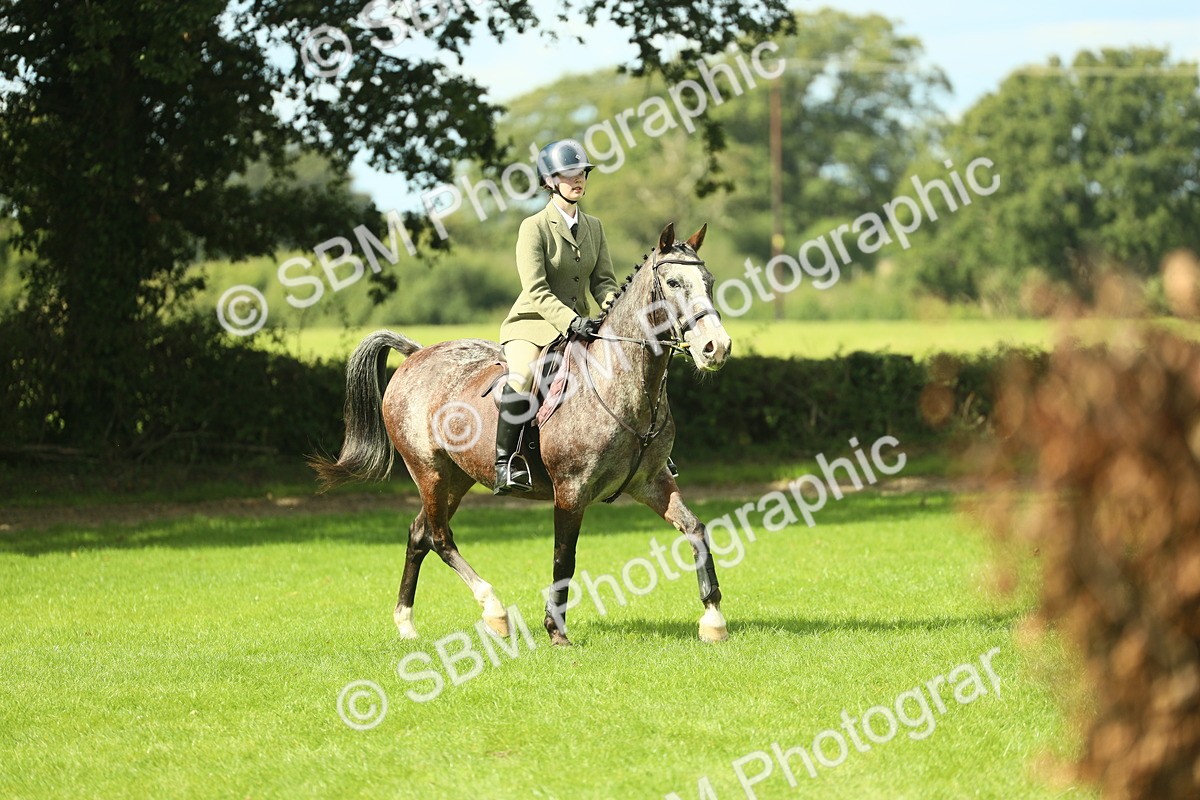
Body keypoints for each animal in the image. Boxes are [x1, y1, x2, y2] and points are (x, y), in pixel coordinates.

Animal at [310, 222, 734, 645]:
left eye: (709, 281)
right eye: (673, 282)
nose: (717, 348)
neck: (622, 382)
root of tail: (415, 354)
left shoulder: (651, 481)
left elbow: (696, 529)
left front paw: (713, 619)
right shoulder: (570, 492)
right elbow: (564, 558)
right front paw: (556, 631)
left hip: (456, 478)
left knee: (419, 534)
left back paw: (406, 623)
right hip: (428, 471)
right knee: (439, 538)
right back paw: (494, 611)